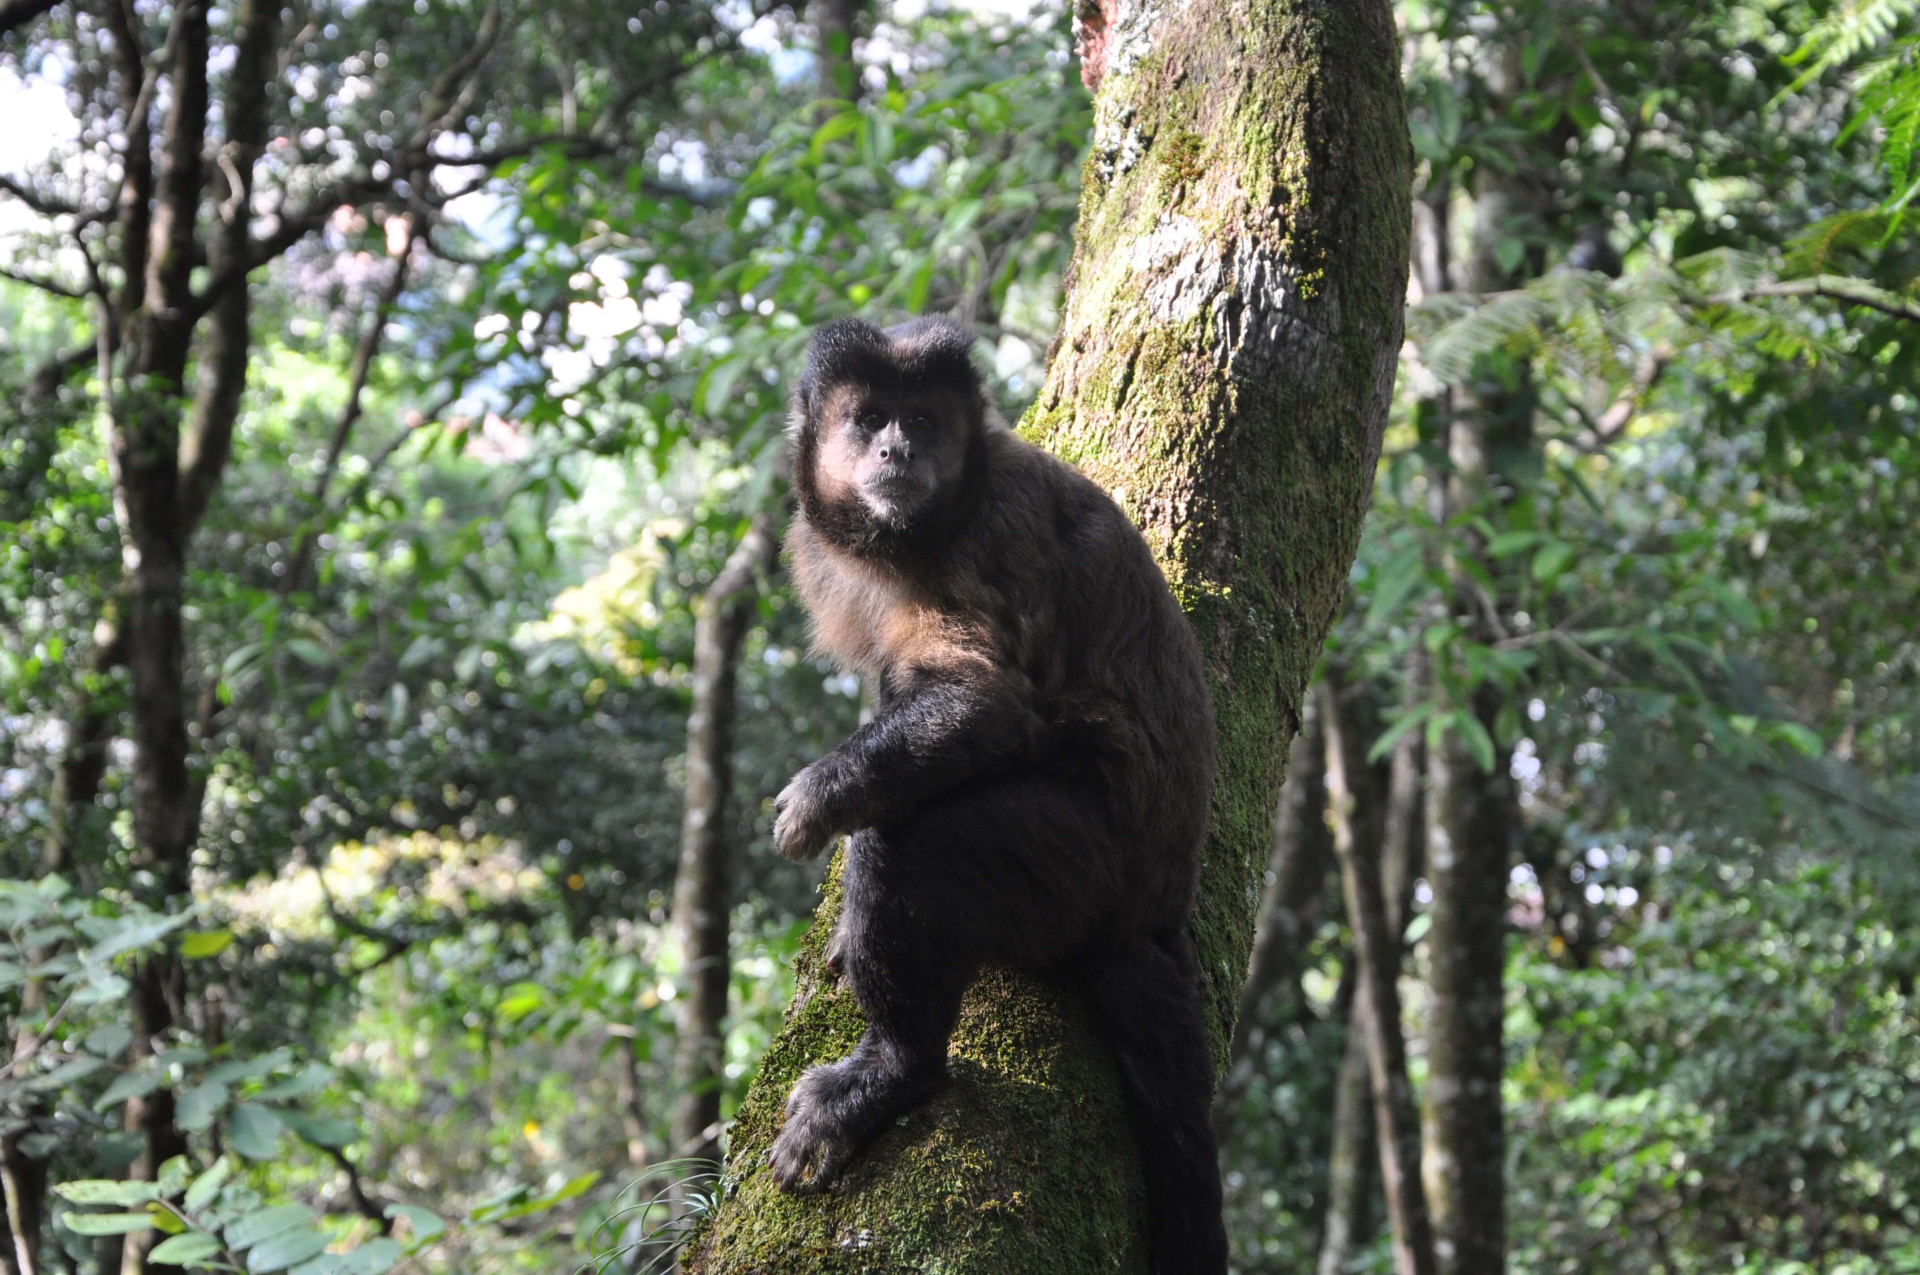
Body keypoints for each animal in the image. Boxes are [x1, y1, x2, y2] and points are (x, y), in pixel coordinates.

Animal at [768, 311, 1228, 1275]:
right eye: (870, 418)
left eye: (922, 420)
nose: (898, 448)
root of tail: (1153, 910)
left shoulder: (985, 542)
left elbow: (988, 702)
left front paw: (821, 798)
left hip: (1074, 866)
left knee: (914, 845)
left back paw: (894, 1072)